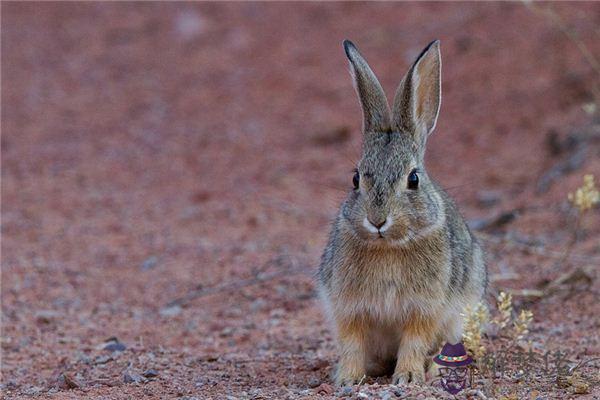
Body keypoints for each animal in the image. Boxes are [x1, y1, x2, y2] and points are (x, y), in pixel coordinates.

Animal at [318, 39, 488, 386]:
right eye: (355, 179)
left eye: (413, 179)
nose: (377, 221)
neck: (388, 246)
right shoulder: (349, 308)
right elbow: (352, 343)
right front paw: (348, 379)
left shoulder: (425, 309)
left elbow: (415, 341)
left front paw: (408, 377)